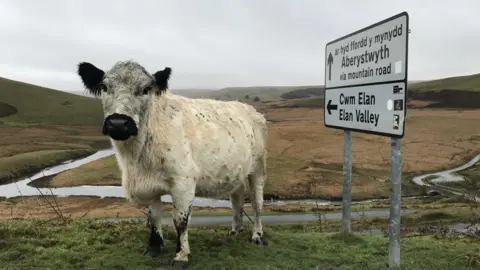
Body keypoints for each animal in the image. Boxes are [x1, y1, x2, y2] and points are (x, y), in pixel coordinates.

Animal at [77, 59, 268, 268]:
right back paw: (235, 230)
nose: (118, 123)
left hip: (258, 169)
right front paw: (153, 247)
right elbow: (154, 217)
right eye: (104, 86)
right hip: (237, 172)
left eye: (146, 89)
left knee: (257, 203)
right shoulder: (149, 185)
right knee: (237, 200)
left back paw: (257, 235)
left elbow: (180, 221)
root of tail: (250, 110)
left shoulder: (184, 182)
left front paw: (181, 255)